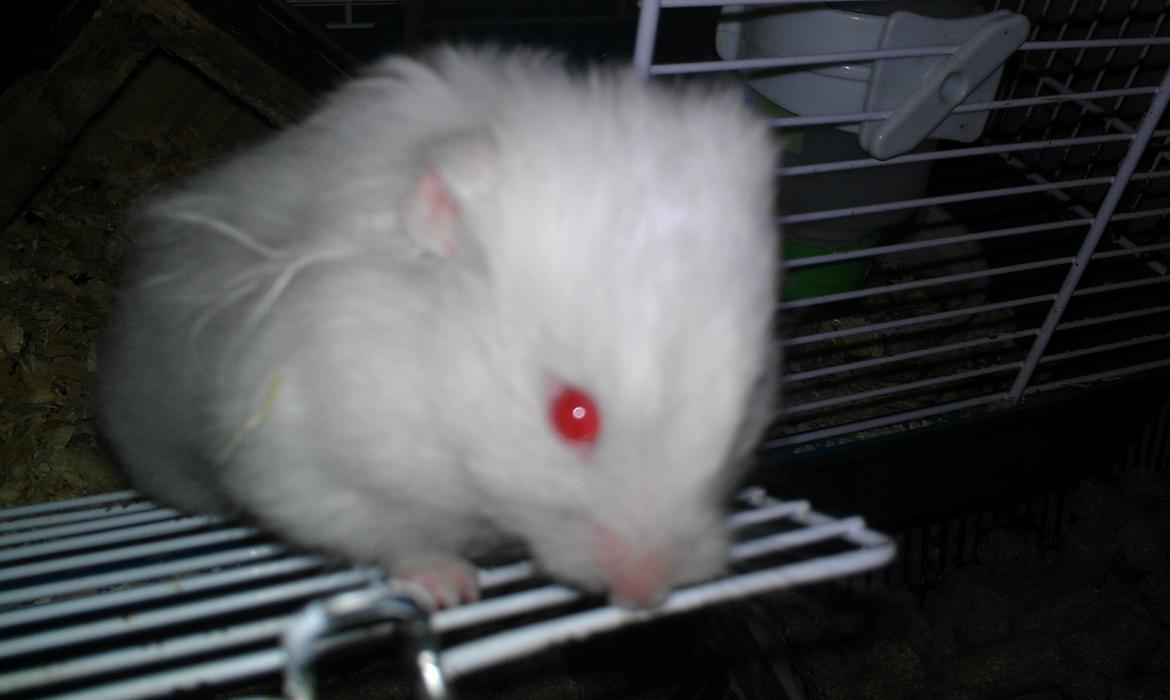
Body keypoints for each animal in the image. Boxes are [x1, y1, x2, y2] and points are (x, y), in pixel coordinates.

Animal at [96, 45, 781, 608]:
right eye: (573, 415)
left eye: (745, 413)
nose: (645, 596)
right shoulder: (305, 461)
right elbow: (393, 534)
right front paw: (452, 587)